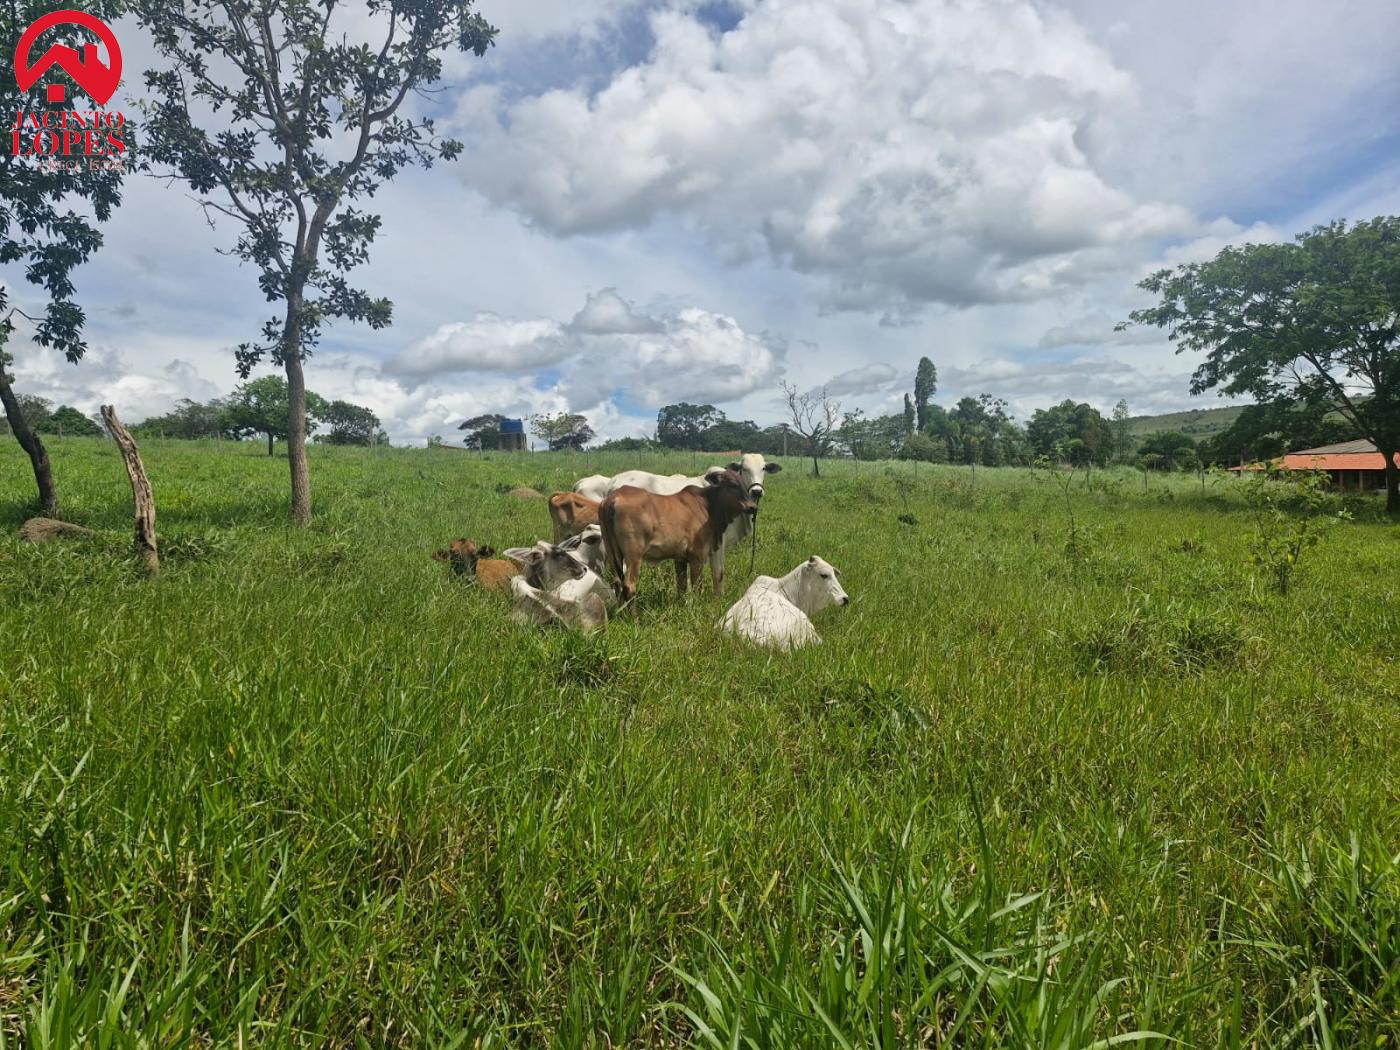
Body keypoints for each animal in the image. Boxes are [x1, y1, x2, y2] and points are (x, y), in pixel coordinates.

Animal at [599, 467, 756, 604]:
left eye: (744, 483)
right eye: (732, 484)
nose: (752, 507)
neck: (708, 506)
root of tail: (613, 498)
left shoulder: (680, 558)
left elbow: (681, 586)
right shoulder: (697, 556)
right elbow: (697, 586)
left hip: (613, 553)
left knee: (617, 583)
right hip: (633, 554)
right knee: (629, 586)